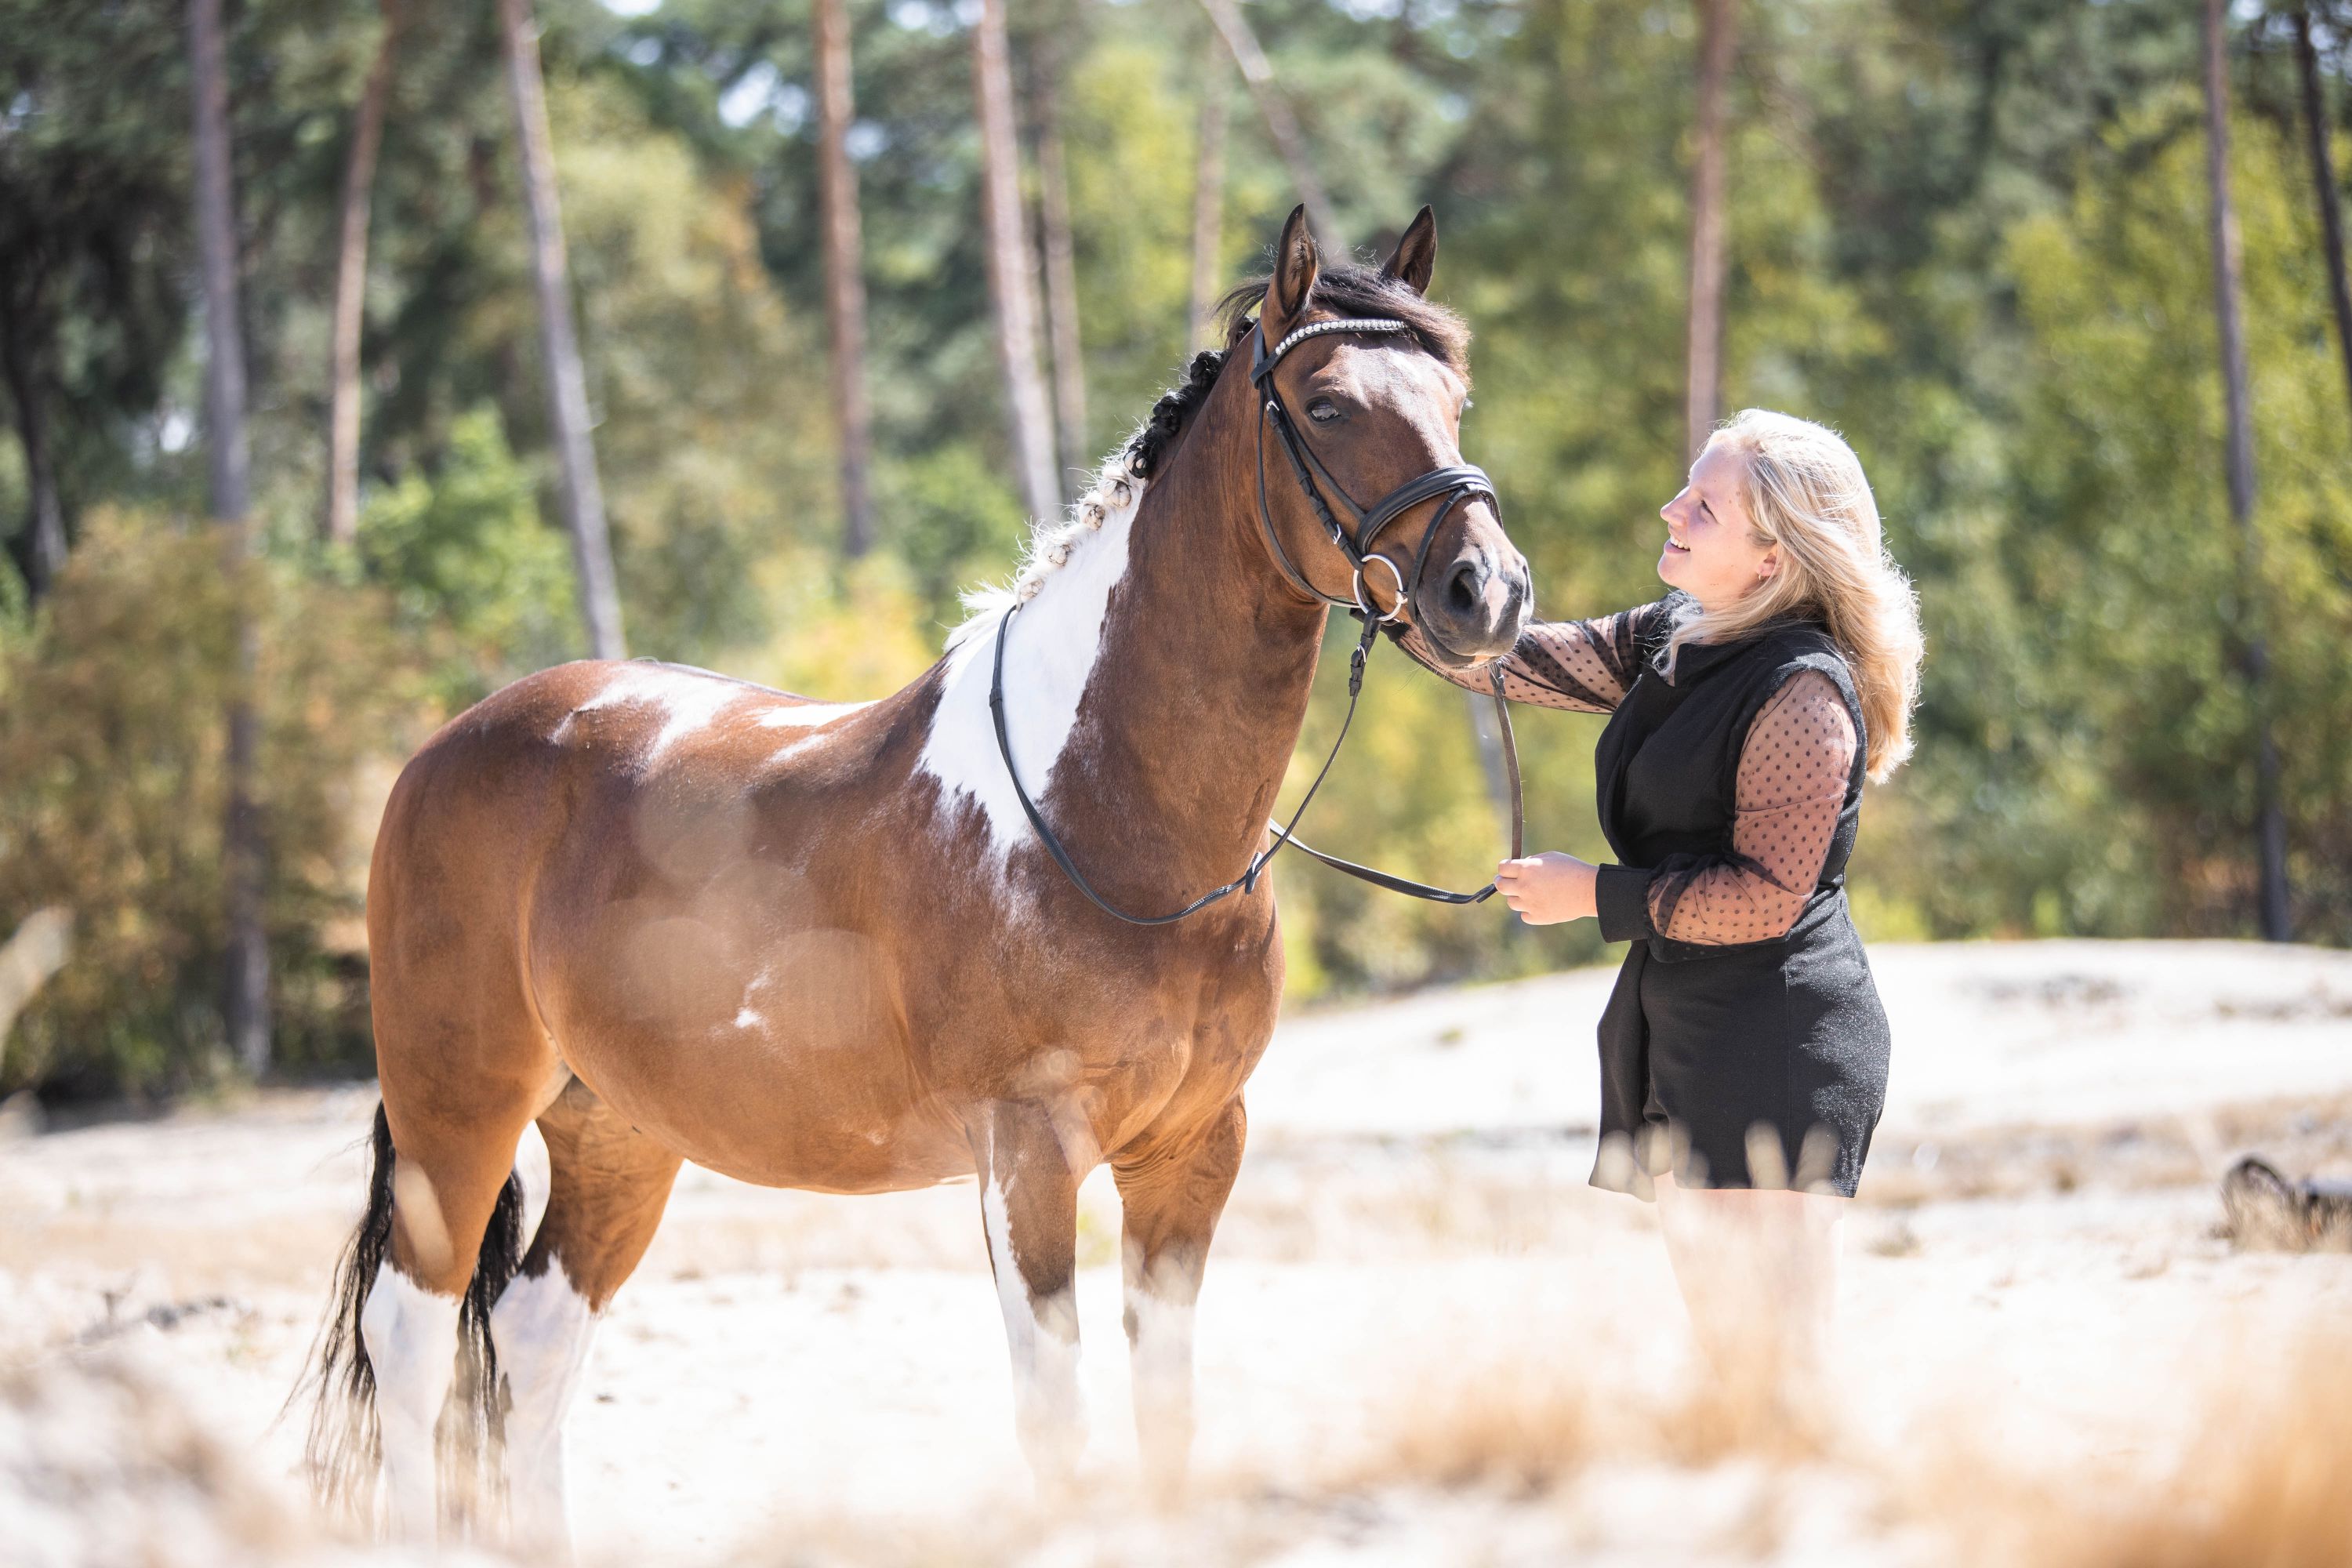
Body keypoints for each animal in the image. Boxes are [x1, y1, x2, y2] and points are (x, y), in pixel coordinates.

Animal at [301, 204, 1532, 1548]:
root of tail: (443, 750)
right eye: (1325, 403)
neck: (1112, 815)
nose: (1490, 592)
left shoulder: (1195, 1149)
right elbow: (1057, 1420)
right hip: (457, 1109)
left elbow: (1167, 1414)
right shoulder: (1028, 1154)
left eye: (1456, 396)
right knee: (413, 1340)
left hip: (617, 1131)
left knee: (531, 1339)